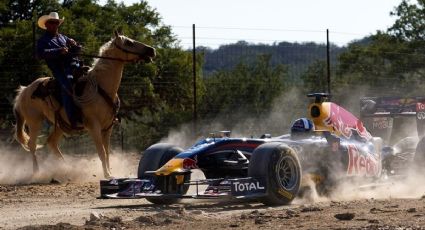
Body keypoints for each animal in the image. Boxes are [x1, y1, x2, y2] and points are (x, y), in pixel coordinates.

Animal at [12, 30, 156, 178]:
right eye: (128, 42)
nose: (151, 50)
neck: (101, 87)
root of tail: (24, 91)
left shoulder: (108, 127)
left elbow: (107, 152)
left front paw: (110, 172)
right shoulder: (94, 127)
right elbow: (101, 152)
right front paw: (107, 174)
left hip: (60, 124)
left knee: (51, 142)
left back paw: (67, 168)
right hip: (34, 122)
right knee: (32, 144)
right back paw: (36, 172)